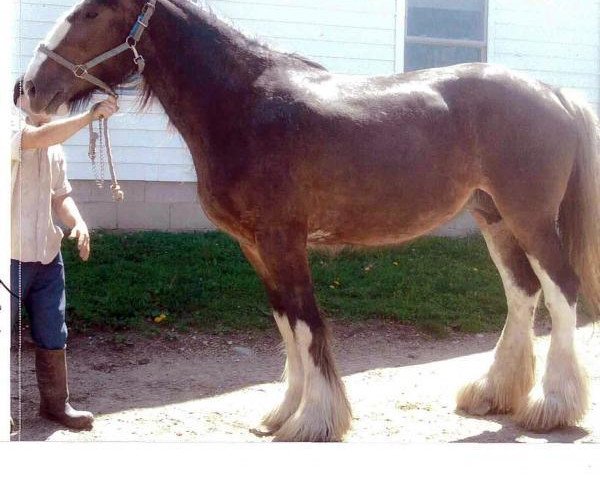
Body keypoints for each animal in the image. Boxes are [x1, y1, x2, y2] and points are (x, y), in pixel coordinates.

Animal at [23, 0, 600, 442]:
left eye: (90, 12)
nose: (26, 88)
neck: (243, 105)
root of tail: (554, 94)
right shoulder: (255, 247)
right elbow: (286, 323)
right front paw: (283, 413)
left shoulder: (283, 240)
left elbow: (306, 323)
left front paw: (316, 419)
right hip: (494, 217)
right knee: (522, 292)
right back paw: (494, 393)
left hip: (530, 219)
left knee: (561, 292)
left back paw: (552, 406)